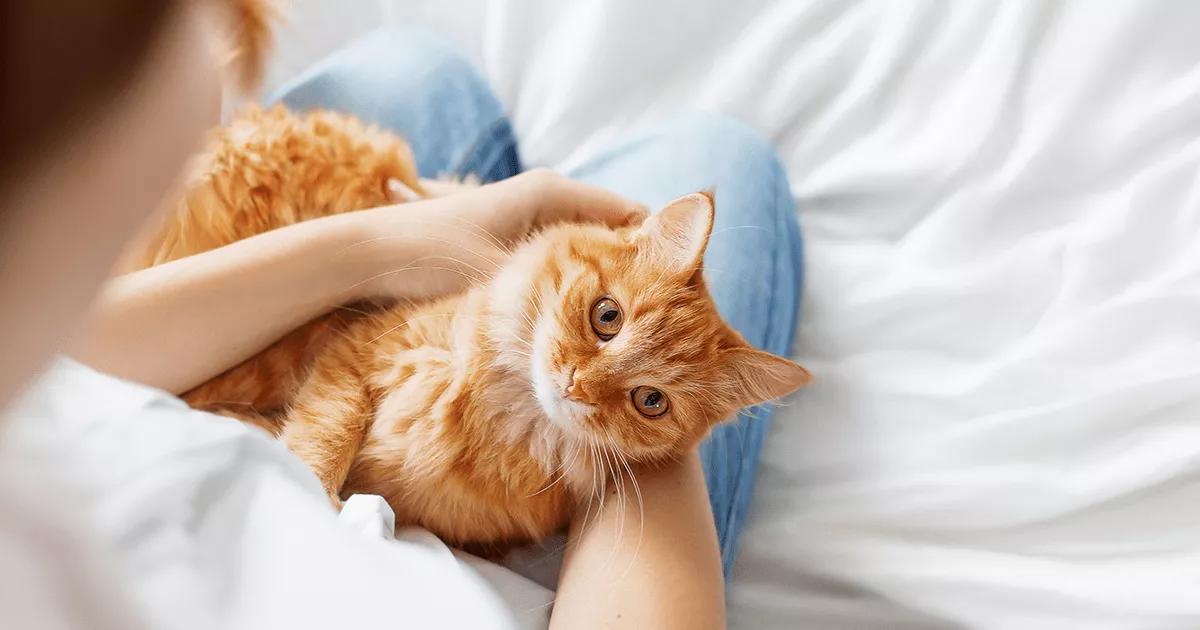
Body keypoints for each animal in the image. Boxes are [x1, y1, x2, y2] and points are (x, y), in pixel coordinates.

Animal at [138, 106, 816, 544]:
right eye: (607, 317)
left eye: (650, 401)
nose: (574, 384)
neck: (500, 406)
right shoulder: (349, 348)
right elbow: (324, 433)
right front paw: (308, 487)